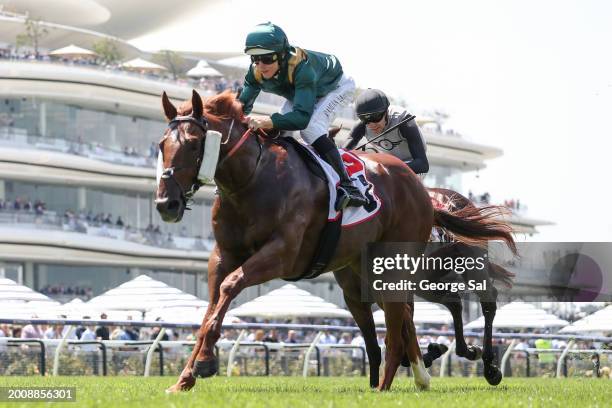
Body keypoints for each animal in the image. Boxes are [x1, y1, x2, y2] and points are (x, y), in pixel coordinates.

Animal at [154, 91, 516, 392]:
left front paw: (203, 363)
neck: (253, 179)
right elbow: (211, 306)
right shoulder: (224, 255)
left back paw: (479, 366)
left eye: (193, 144)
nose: (165, 203)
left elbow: (230, 287)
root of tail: (425, 194)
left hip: (435, 267)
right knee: (436, 307)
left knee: (480, 302)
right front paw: (186, 376)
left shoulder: (282, 254)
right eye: (161, 145)